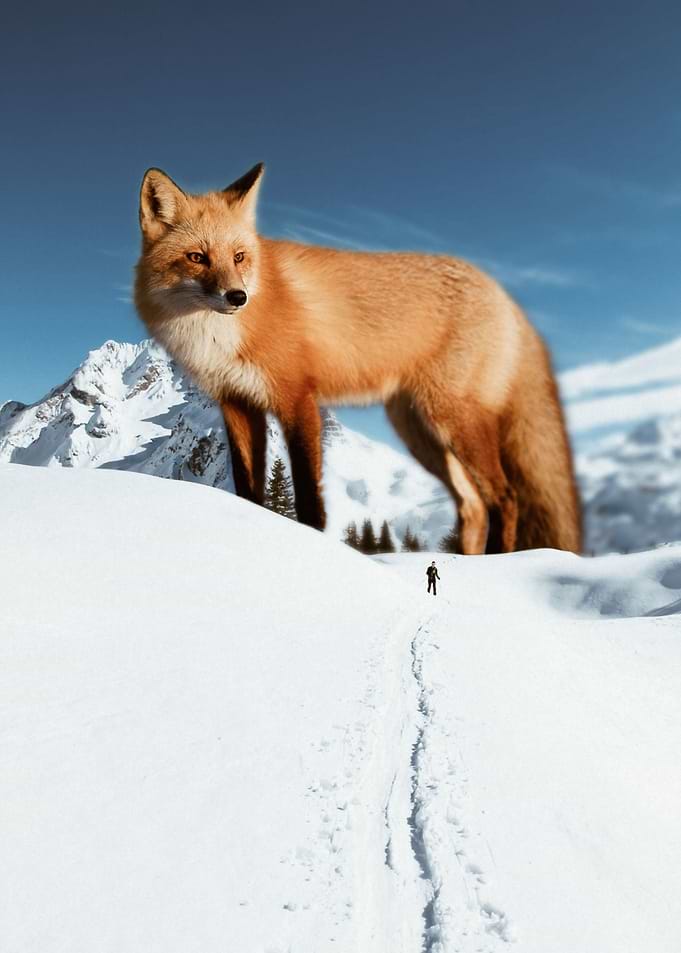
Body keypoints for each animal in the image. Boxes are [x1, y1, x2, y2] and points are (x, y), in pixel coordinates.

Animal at [134, 163, 581, 554]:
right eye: (197, 257)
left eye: (239, 257)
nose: (237, 297)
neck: (218, 335)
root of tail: (503, 294)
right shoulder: (238, 404)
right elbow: (248, 490)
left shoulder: (298, 399)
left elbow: (310, 498)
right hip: (421, 433)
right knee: (473, 507)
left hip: (455, 421)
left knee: (505, 498)